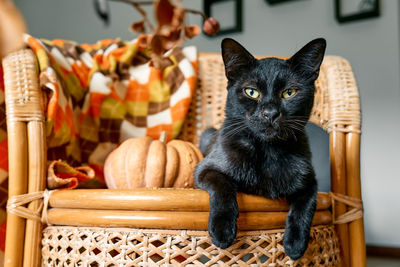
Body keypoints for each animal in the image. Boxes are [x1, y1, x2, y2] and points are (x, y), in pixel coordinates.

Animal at [195, 37, 328, 260]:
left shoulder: (310, 182)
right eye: (251, 92)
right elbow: (223, 185)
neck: (268, 152)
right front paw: (222, 230)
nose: (270, 113)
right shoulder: (206, 169)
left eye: (289, 92)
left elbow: (305, 206)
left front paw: (295, 244)